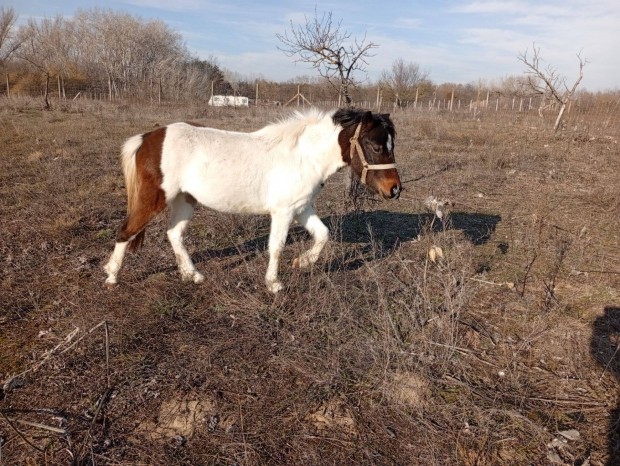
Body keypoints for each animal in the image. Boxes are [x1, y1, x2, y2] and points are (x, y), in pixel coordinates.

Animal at [104, 107, 402, 294]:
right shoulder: (283, 212)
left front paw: (302, 263)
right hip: (154, 198)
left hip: (184, 200)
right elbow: (276, 247)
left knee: (173, 234)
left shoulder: (301, 208)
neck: (303, 156)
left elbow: (323, 235)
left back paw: (192, 275)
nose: (395, 190)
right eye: (376, 146)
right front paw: (274, 284)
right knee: (126, 231)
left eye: (391, 145)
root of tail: (147, 138)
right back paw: (111, 276)